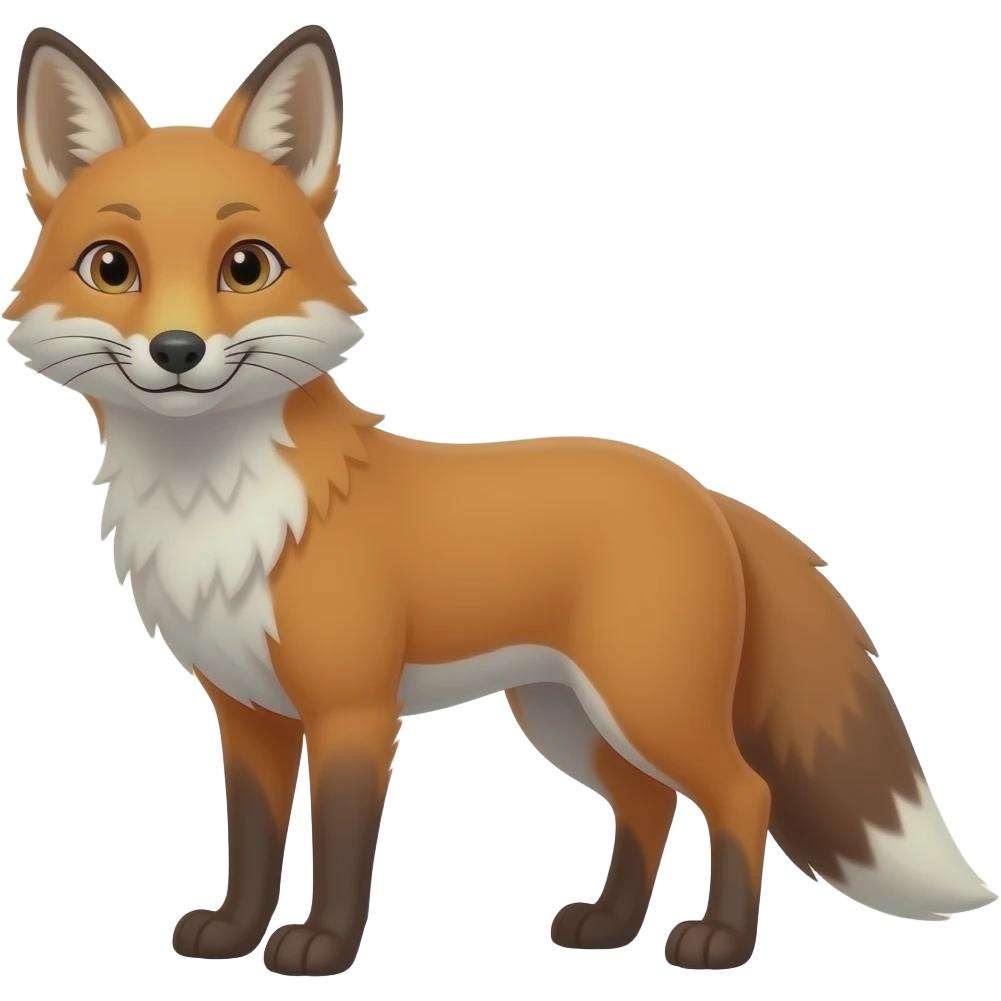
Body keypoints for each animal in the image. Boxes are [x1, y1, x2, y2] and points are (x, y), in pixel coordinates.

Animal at [5, 23, 997, 978]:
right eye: (111, 266)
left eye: (246, 267)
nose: (176, 350)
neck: (217, 504)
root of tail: (701, 488)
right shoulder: (248, 714)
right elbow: (249, 842)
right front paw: (233, 931)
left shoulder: (353, 711)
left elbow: (339, 849)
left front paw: (321, 948)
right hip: (568, 716)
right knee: (648, 801)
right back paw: (608, 925)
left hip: (645, 702)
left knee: (741, 793)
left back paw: (717, 942)